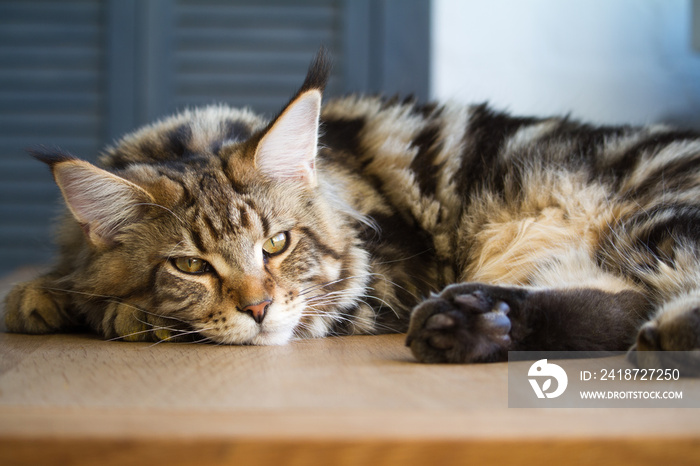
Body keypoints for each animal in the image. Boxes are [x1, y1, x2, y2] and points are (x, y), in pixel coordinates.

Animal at [4, 48, 700, 368]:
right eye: (192, 266)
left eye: (277, 244)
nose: (258, 308)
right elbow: (60, 278)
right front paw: (39, 294)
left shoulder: (382, 282)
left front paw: (109, 312)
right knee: (618, 310)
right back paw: (471, 321)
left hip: (651, 222)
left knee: (649, 301)